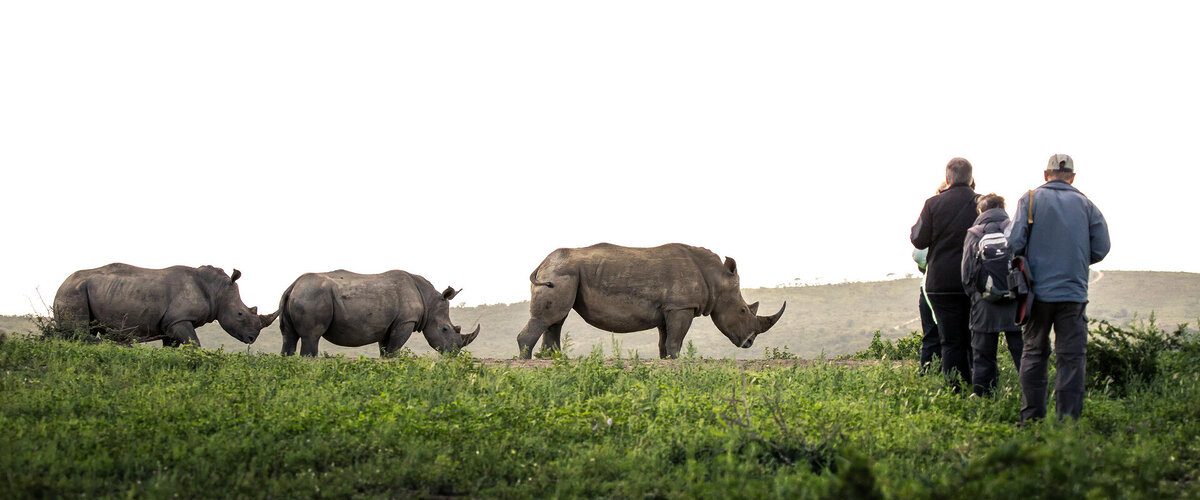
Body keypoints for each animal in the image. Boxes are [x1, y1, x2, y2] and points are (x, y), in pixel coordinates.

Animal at [52, 263, 278, 346]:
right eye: (240, 314)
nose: (251, 339)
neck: (217, 291)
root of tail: (61, 284)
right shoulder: (179, 319)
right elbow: (194, 344)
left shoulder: (171, 324)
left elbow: (174, 348)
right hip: (74, 292)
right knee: (80, 332)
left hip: (79, 290)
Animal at [277, 270, 480, 357]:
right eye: (445, 329)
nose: (453, 353)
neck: (428, 301)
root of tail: (292, 287)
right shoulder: (405, 321)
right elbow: (393, 351)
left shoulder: (388, 325)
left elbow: (385, 351)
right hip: (311, 296)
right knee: (311, 337)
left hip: (298, 296)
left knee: (289, 337)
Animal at [517, 243, 786, 359]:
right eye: (743, 311)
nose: (749, 342)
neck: (716, 278)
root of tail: (542, 263)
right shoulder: (681, 306)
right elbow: (677, 338)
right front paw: (678, 361)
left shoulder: (670, 307)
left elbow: (665, 340)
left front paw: (666, 360)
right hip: (561, 273)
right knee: (550, 317)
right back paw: (527, 361)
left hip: (564, 273)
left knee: (556, 319)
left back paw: (553, 360)